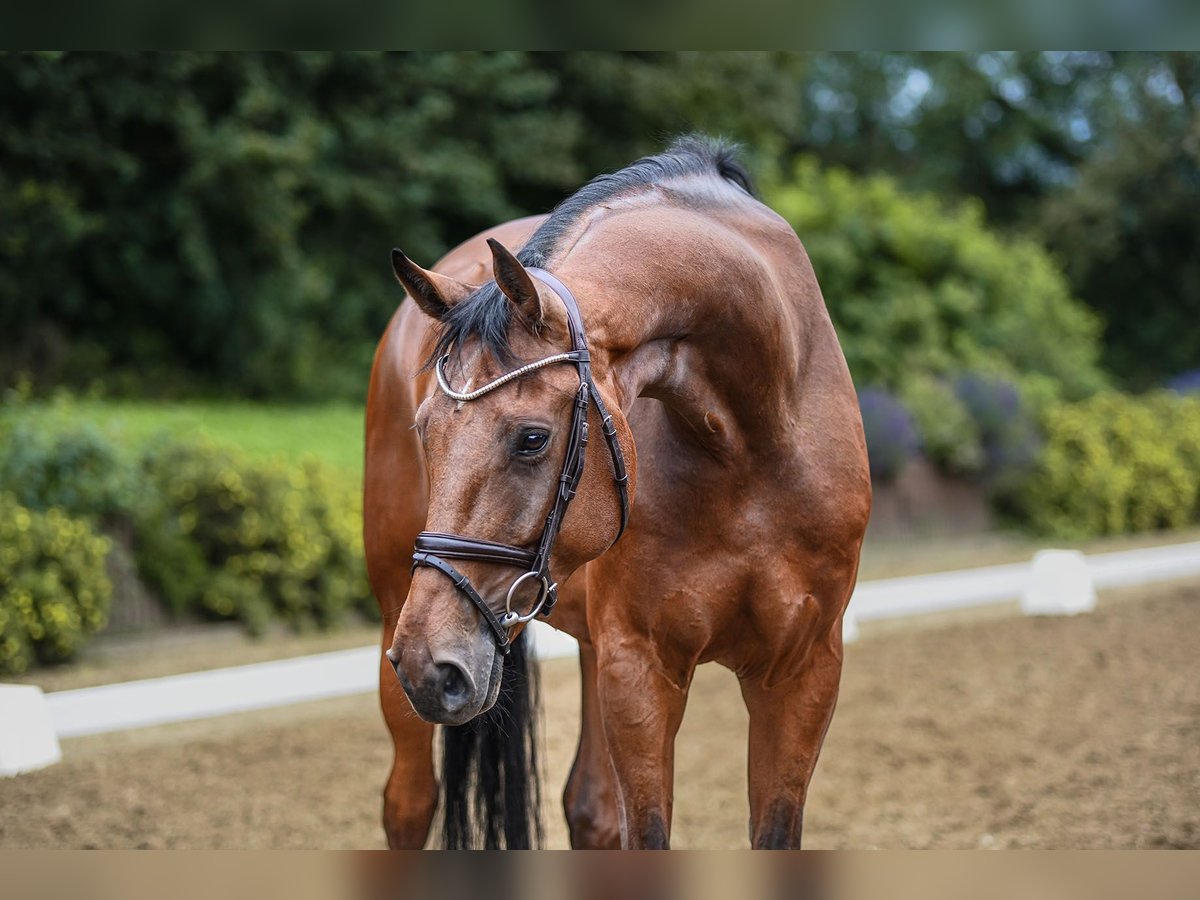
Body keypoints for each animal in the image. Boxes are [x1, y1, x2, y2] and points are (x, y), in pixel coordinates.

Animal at [360, 135, 868, 854]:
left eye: (533, 439)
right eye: (424, 430)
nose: (431, 666)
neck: (755, 438)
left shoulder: (803, 672)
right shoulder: (640, 670)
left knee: (590, 811)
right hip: (396, 620)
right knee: (407, 804)